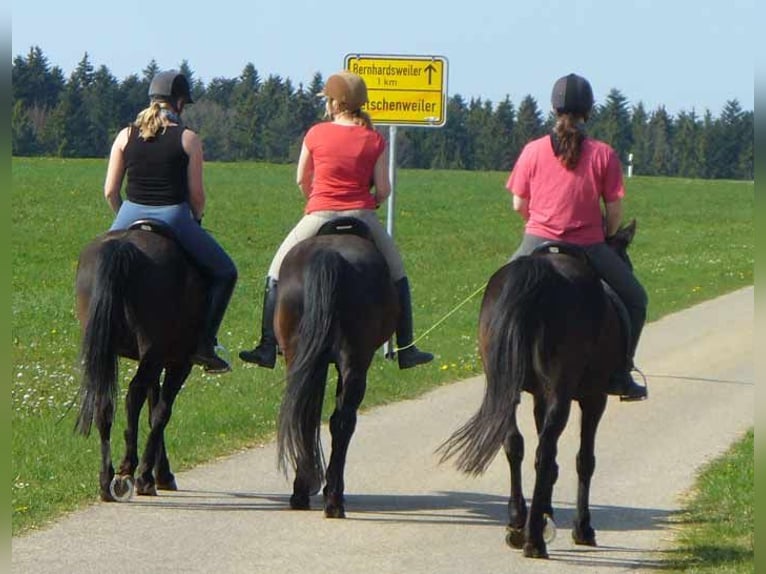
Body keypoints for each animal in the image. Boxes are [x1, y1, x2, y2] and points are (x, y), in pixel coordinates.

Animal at [74, 223, 206, 502]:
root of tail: (123, 245)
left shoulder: (157, 360)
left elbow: (153, 407)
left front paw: (161, 472)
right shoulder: (177, 362)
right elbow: (161, 412)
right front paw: (150, 476)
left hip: (111, 352)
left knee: (106, 403)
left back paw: (106, 480)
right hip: (154, 351)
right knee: (133, 397)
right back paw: (128, 471)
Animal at [276, 218, 400, 520]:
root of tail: (329, 255)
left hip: (300, 357)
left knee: (305, 416)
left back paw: (302, 492)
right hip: (355, 361)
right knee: (343, 422)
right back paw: (333, 499)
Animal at [440, 223, 640, 560]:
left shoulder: (539, 397)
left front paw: (546, 511)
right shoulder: (593, 398)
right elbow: (583, 460)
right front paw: (582, 528)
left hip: (506, 388)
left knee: (515, 444)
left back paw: (518, 522)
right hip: (564, 391)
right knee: (544, 452)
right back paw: (534, 539)